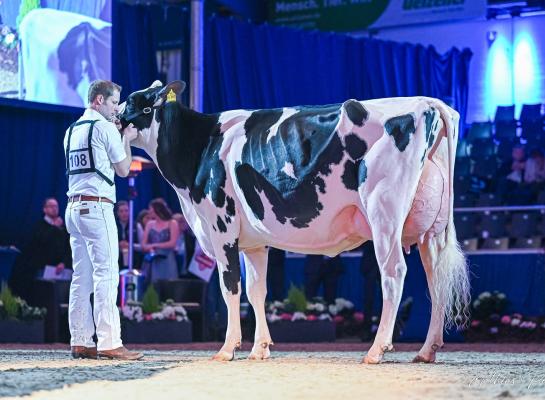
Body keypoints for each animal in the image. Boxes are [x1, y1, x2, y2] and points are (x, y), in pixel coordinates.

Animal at [121, 80, 470, 362]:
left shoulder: (222, 226)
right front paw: (259, 348)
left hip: (384, 212)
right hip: (432, 230)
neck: (200, 147)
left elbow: (230, 287)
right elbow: (256, 291)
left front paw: (227, 348)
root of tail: (428, 103)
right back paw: (427, 350)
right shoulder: (255, 242)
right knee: (436, 280)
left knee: (394, 273)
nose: (116, 118)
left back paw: (376, 350)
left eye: (135, 104)